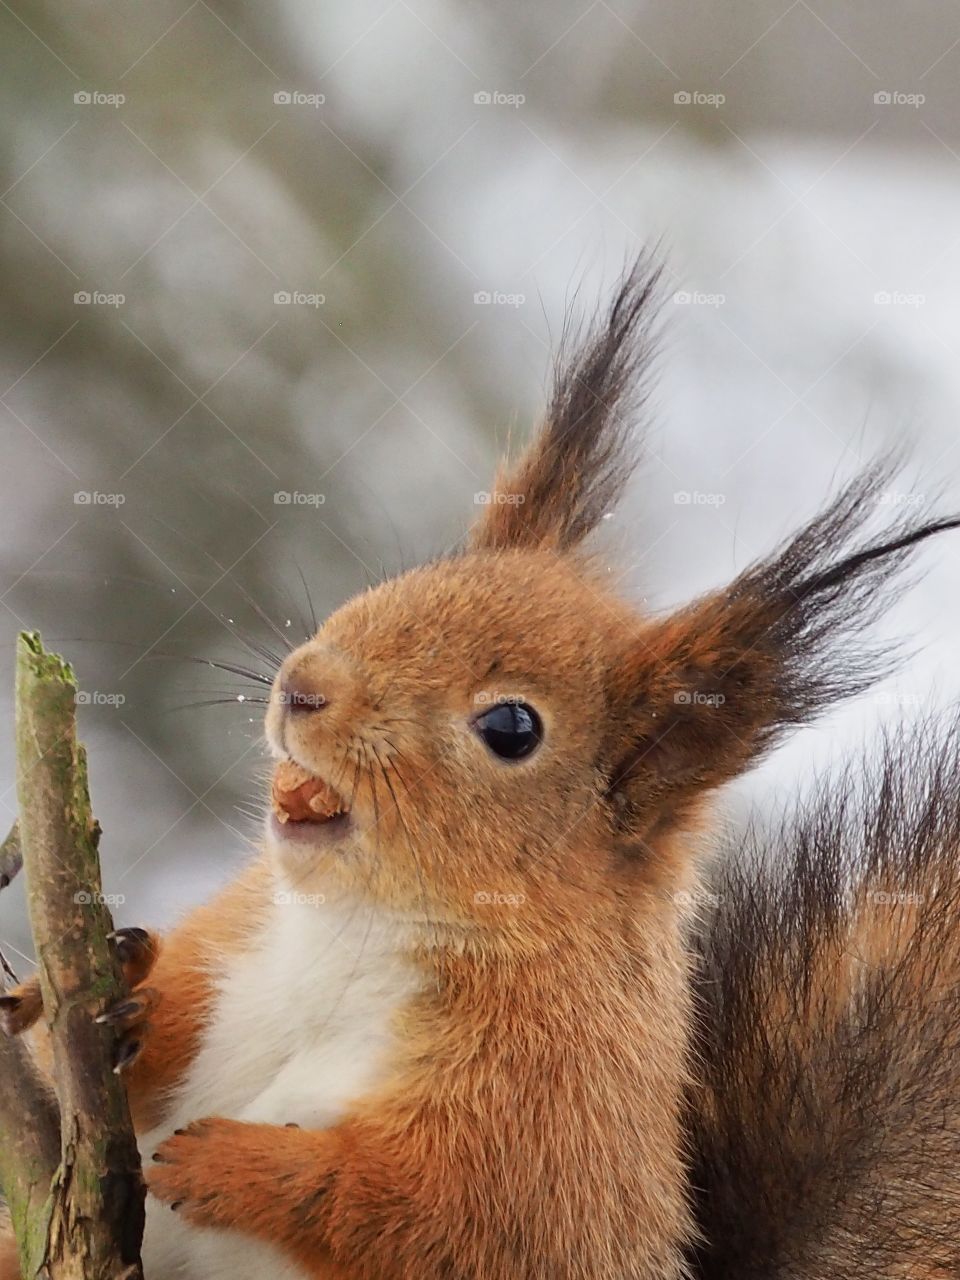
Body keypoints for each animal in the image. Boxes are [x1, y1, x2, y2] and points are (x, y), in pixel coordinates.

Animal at [3, 259, 960, 1280]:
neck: (358, 928)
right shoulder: (236, 941)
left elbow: (425, 1214)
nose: (303, 687)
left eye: (511, 726)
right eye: (405, 579)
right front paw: (110, 991)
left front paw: (238, 1165)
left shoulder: (550, 1116)